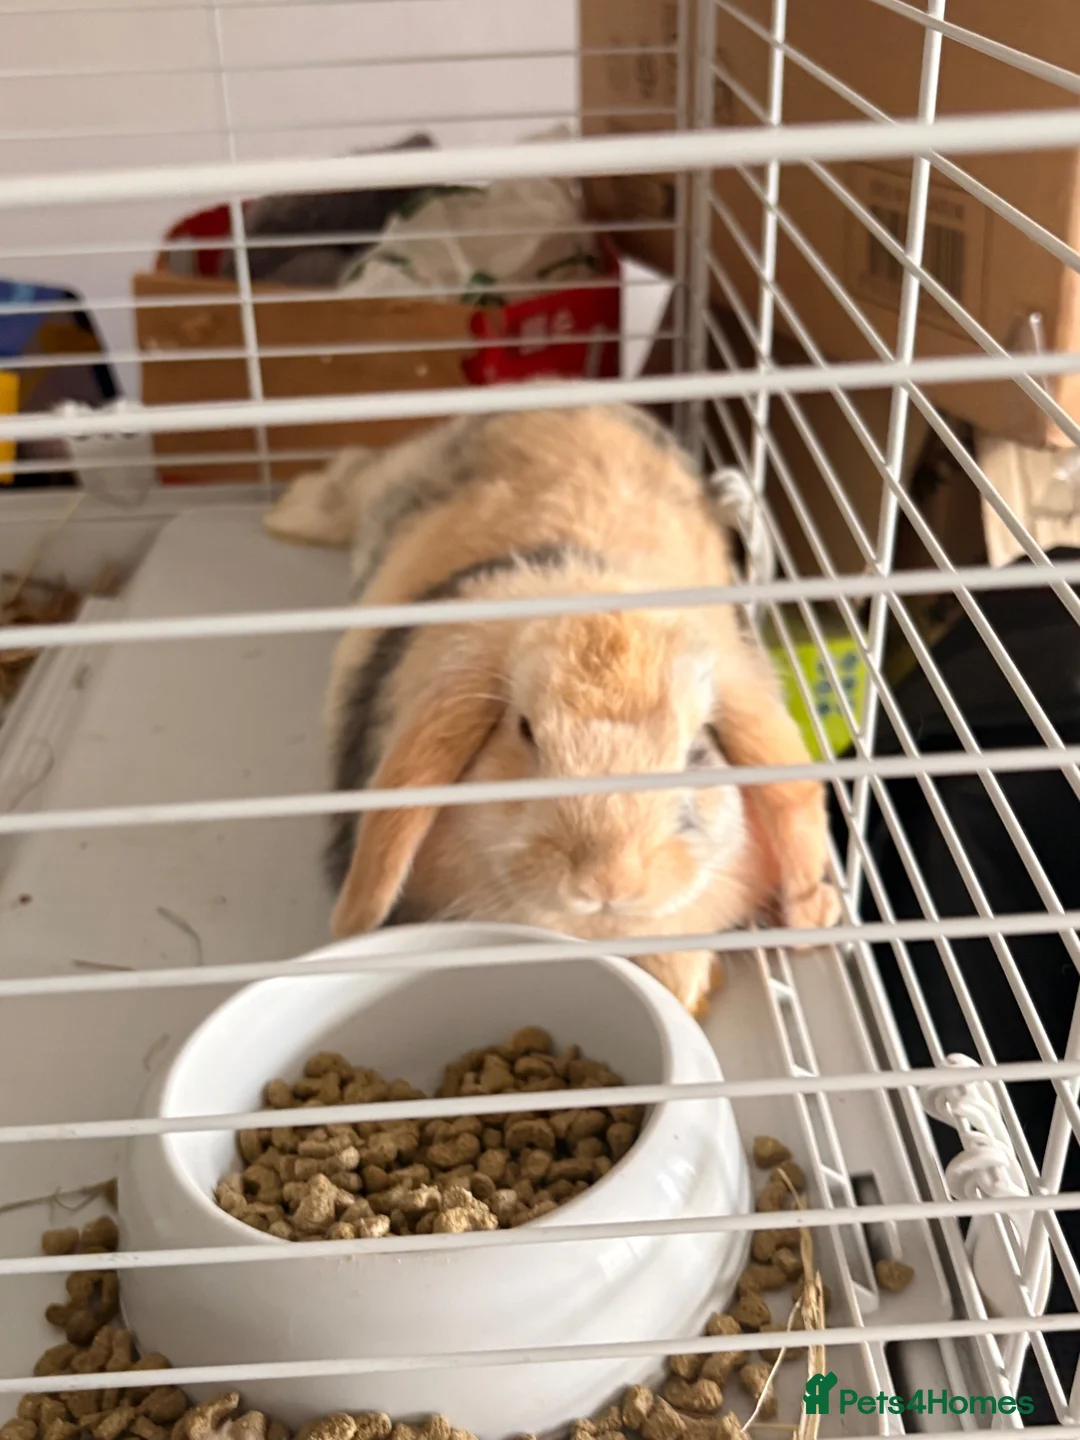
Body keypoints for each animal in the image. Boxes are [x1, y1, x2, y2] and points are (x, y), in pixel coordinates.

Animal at [264, 405, 841, 1016]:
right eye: (525, 732)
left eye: (697, 750)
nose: (608, 881)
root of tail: (565, 402)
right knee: (351, 475)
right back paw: (288, 511)